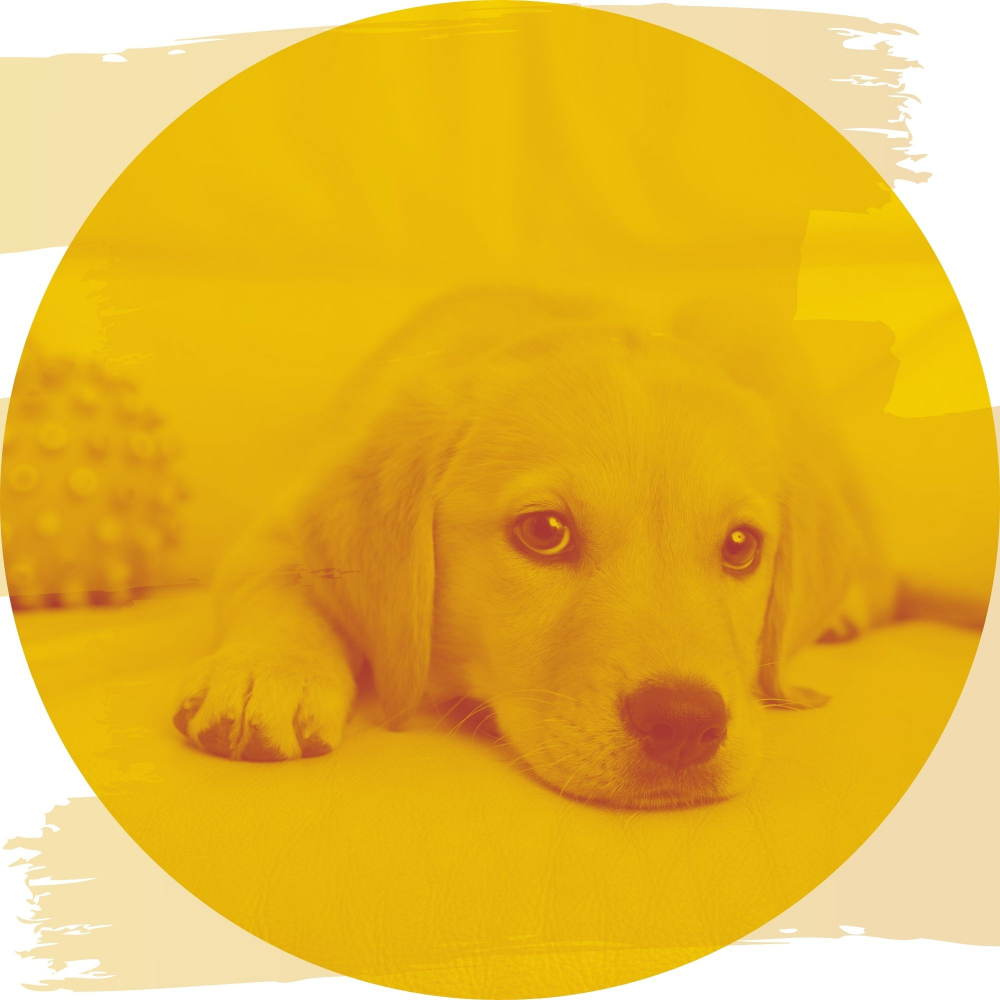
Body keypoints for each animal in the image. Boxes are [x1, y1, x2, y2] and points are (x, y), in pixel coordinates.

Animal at [174, 287, 898, 808]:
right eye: (545, 533)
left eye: (742, 546)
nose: (685, 721)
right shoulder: (275, 527)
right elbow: (285, 583)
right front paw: (269, 671)